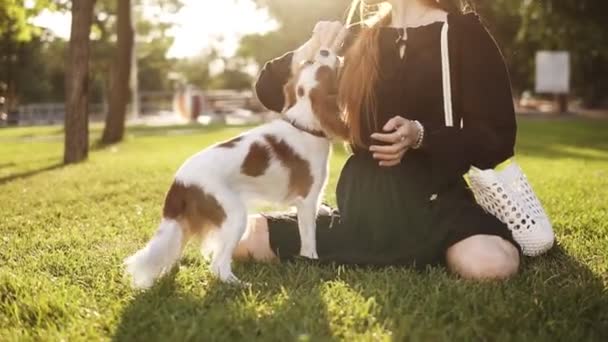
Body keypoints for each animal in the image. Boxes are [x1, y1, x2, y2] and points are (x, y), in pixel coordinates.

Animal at [123, 48, 346, 288]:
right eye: (318, 64)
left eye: (310, 62)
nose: (324, 49)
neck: (305, 123)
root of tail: (179, 182)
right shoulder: (306, 200)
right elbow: (309, 239)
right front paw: (312, 262)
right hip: (235, 215)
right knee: (218, 264)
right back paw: (238, 285)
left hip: (185, 224)